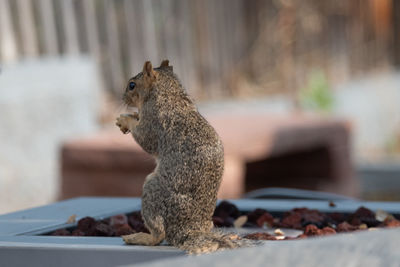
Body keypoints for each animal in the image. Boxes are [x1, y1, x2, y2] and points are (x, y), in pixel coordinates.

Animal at [115, 59, 253, 254]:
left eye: (132, 85)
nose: (123, 98)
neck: (169, 92)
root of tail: (187, 231)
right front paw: (132, 116)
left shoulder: (153, 121)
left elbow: (145, 139)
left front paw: (126, 120)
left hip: (153, 190)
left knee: (159, 234)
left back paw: (140, 237)